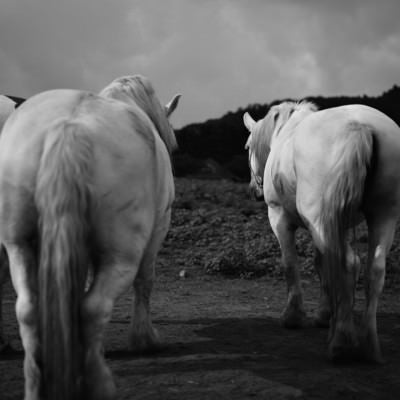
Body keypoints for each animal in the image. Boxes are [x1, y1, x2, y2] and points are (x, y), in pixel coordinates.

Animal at [0, 76, 180, 400]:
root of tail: (70, 128)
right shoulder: (158, 229)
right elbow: (145, 281)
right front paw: (145, 339)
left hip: (18, 246)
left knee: (28, 309)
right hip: (122, 255)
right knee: (94, 308)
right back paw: (100, 384)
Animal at [244, 102, 400, 362]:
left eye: (247, 147)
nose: (254, 191)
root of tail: (359, 126)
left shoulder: (279, 217)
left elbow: (290, 263)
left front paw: (294, 316)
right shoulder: (336, 224)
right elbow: (323, 263)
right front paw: (325, 313)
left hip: (320, 219)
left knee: (349, 264)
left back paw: (342, 342)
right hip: (383, 215)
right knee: (374, 270)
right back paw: (368, 345)